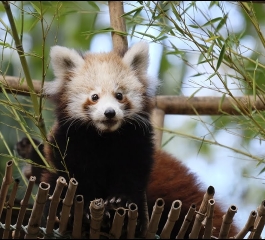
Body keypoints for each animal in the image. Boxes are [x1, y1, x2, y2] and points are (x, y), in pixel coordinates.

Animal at [16, 41, 237, 238]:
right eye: (94, 97)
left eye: (119, 95)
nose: (109, 113)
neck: (105, 137)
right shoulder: (71, 141)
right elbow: (74, 176)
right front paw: (82, 207)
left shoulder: (136, 143)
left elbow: (132, 175)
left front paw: (119, 202)